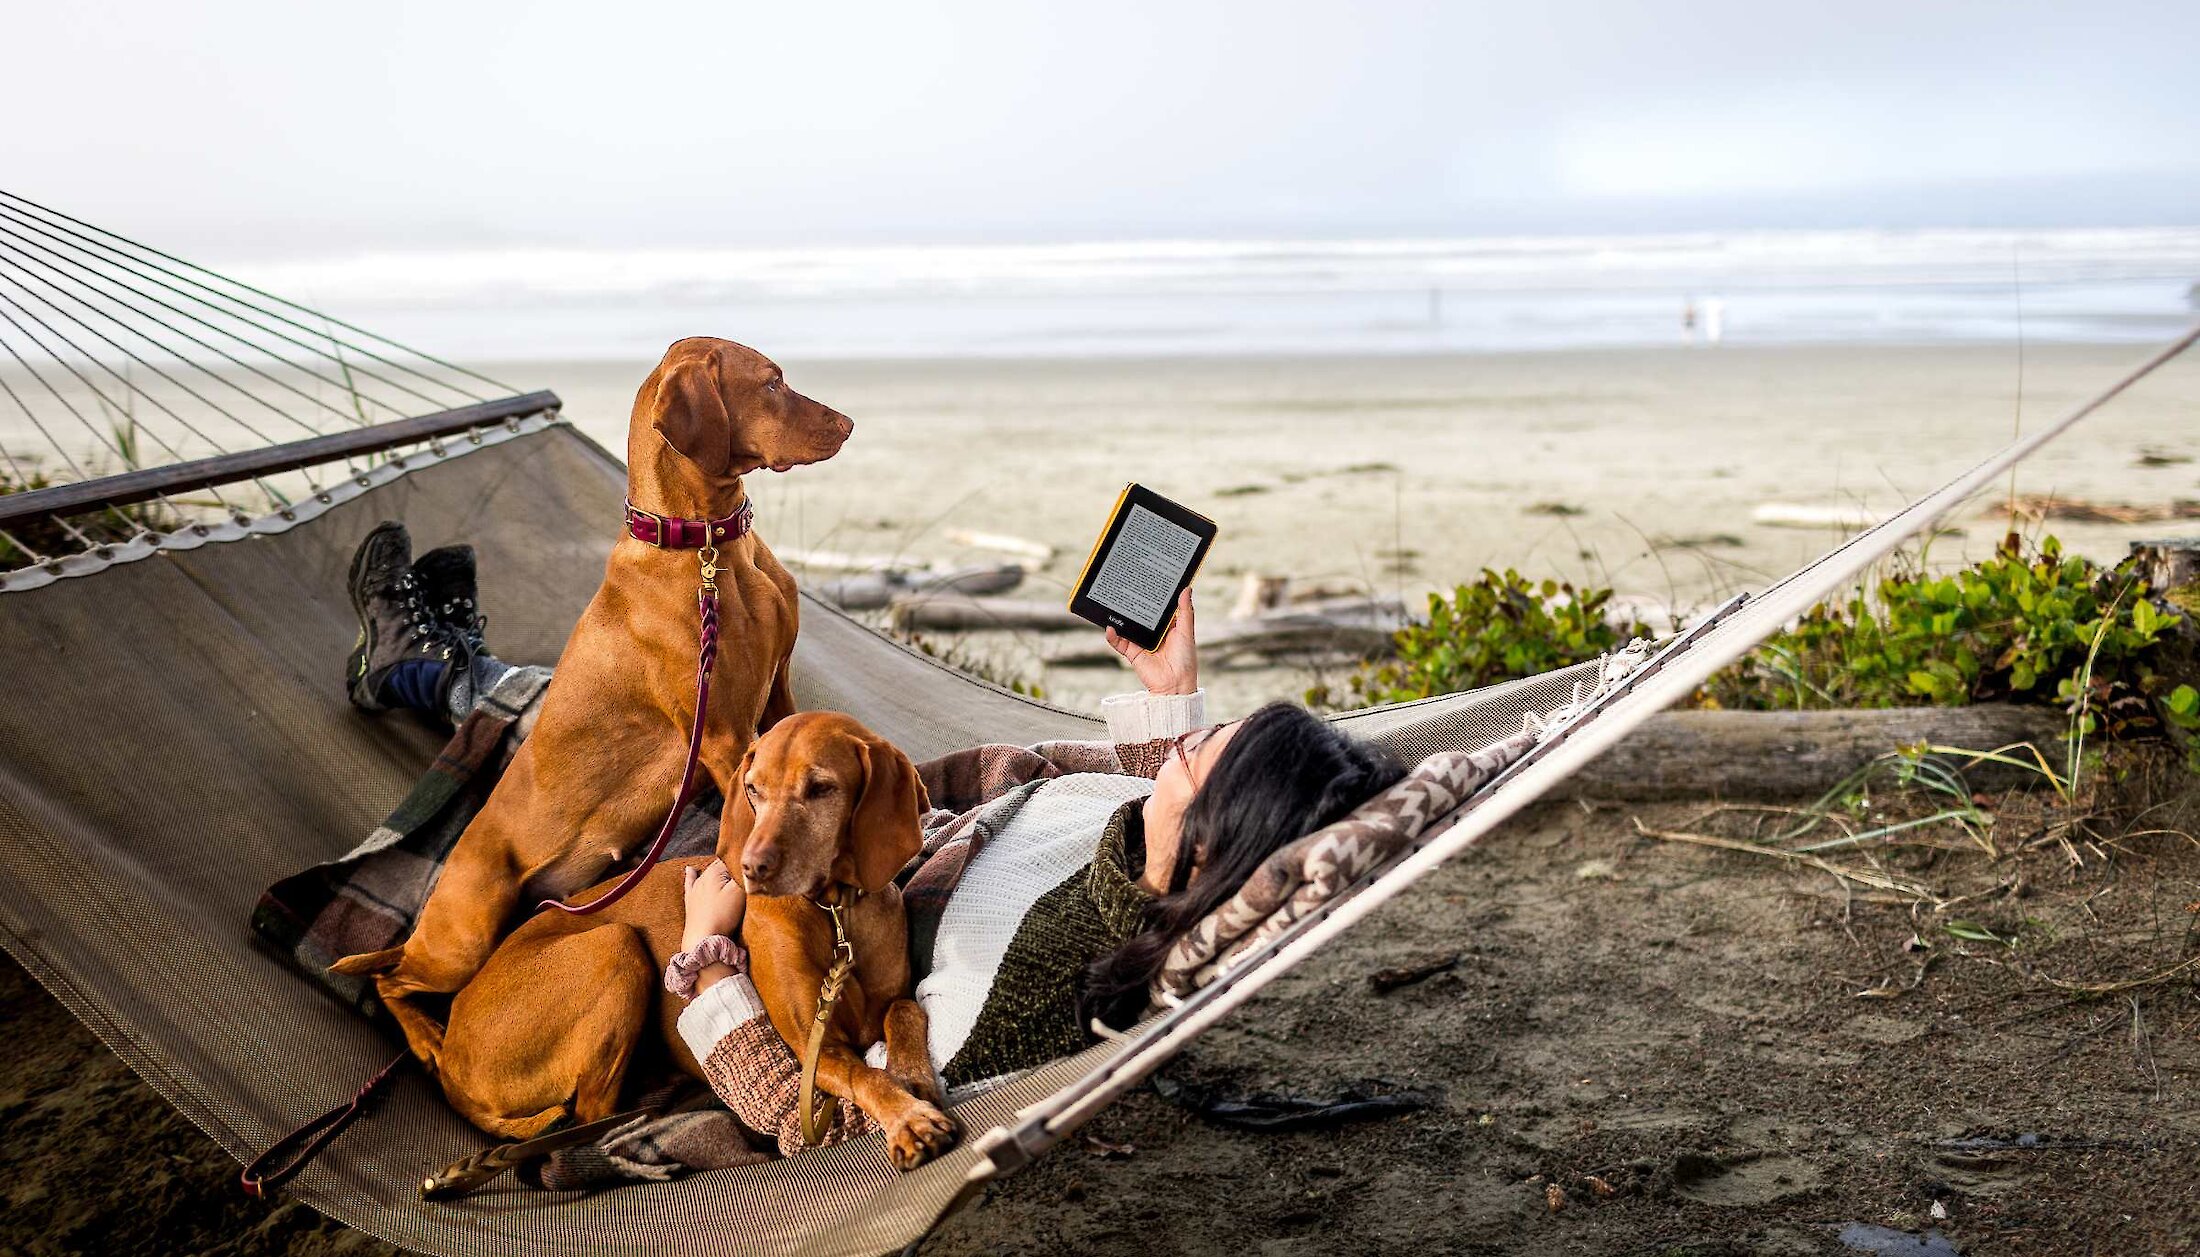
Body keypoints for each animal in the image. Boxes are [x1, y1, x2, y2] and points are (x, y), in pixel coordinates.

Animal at [332, 336, 849, 1083]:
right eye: (772, 382)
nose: (849, 424)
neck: (705, 546)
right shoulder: (723, 734)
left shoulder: (776, 695)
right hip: (465, 931)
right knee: (388, 976)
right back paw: (426, 1037)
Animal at [431, 708, 954, 1171]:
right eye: (753, 789)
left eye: (821, 788)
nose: (751, 867)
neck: (836, 913)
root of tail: (449, 1062)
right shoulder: (814, 1049)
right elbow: (864, 1074)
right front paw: (908, 1118)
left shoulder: (879, 1005)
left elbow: (904, 1009)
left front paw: (912, 1074)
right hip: (615, 945)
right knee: (591, 1116)